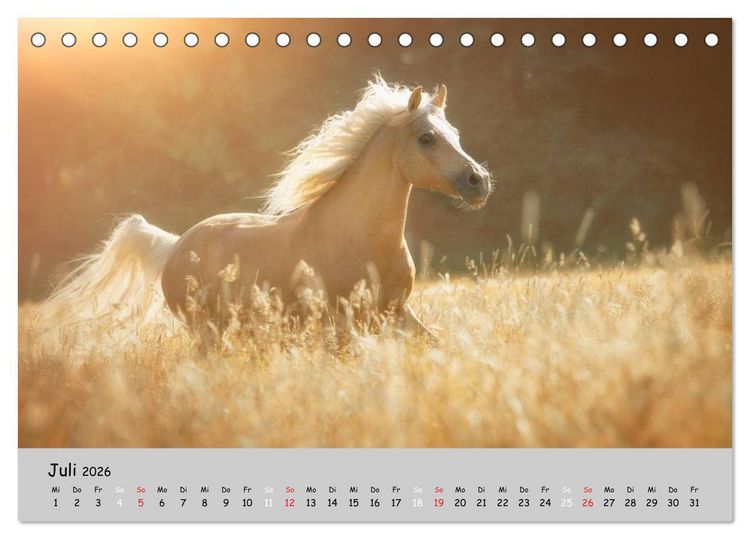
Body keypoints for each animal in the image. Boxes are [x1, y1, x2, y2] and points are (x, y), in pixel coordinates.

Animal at [46, 77, 493, 344]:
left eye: (454, 133)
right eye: (427, 138)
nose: (479, 181)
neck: (359, 239)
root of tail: (175, 245)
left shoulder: (397, 314)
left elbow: (434, 344)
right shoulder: (339, 326)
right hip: (207, 333)